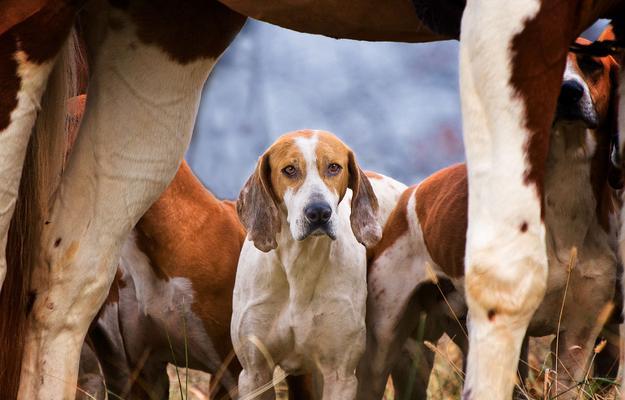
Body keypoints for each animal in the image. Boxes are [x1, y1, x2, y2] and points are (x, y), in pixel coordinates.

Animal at [232, 130, 388, 400]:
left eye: (334, 167)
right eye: (290, 170)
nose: (318, 212)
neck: (299, 266)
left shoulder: (340, 375)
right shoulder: (254, 374)